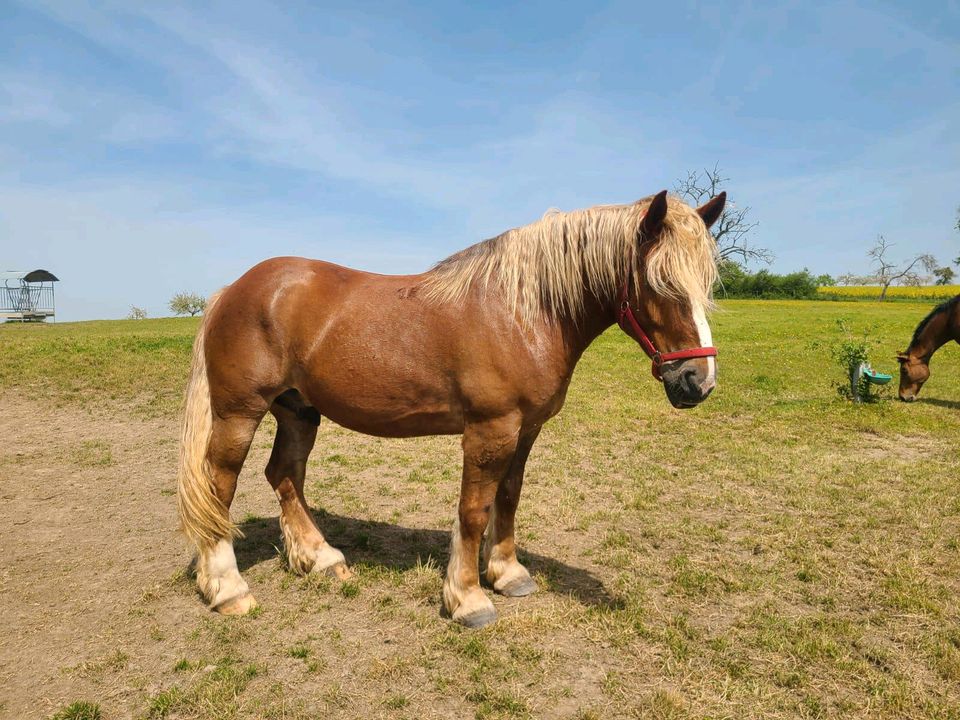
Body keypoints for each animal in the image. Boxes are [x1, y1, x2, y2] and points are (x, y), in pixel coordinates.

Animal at [176, 188, 724, 628]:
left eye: (705, 284)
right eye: (660, 283)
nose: (697, 382)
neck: (521, 313)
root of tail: (232, 290)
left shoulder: (525, 429)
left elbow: (509, 497)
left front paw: (508, 574)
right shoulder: (490, 429)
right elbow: (474, 509)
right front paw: (468, 599)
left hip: (297, 411)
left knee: (285, 474)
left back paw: (320, 559)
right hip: (239, 413)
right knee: (220, 486)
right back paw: (228, 588)